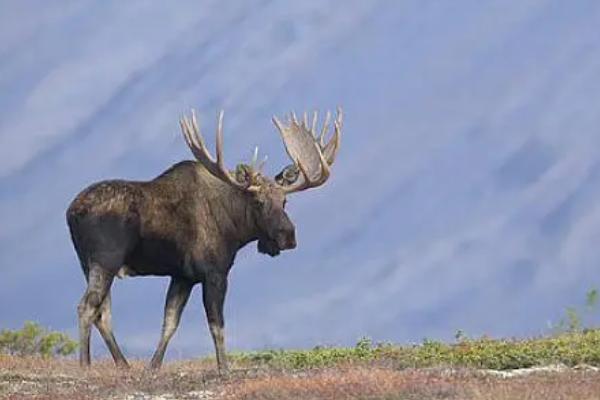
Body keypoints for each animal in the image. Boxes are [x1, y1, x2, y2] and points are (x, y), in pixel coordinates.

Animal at [67, 107, 342, 372]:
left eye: (284, 201)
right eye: (258, 202)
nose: (288, 236)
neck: (234, 228)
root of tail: (71, 212)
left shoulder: (183, 276)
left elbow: (169, 322)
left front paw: (153, 367)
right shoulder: (215, 273)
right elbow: (216, 325)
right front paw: (224, 370)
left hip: (87, 264)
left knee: (102, 312)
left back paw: (122, 364)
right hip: (106, 260)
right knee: (87, 307)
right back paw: (85, 365)